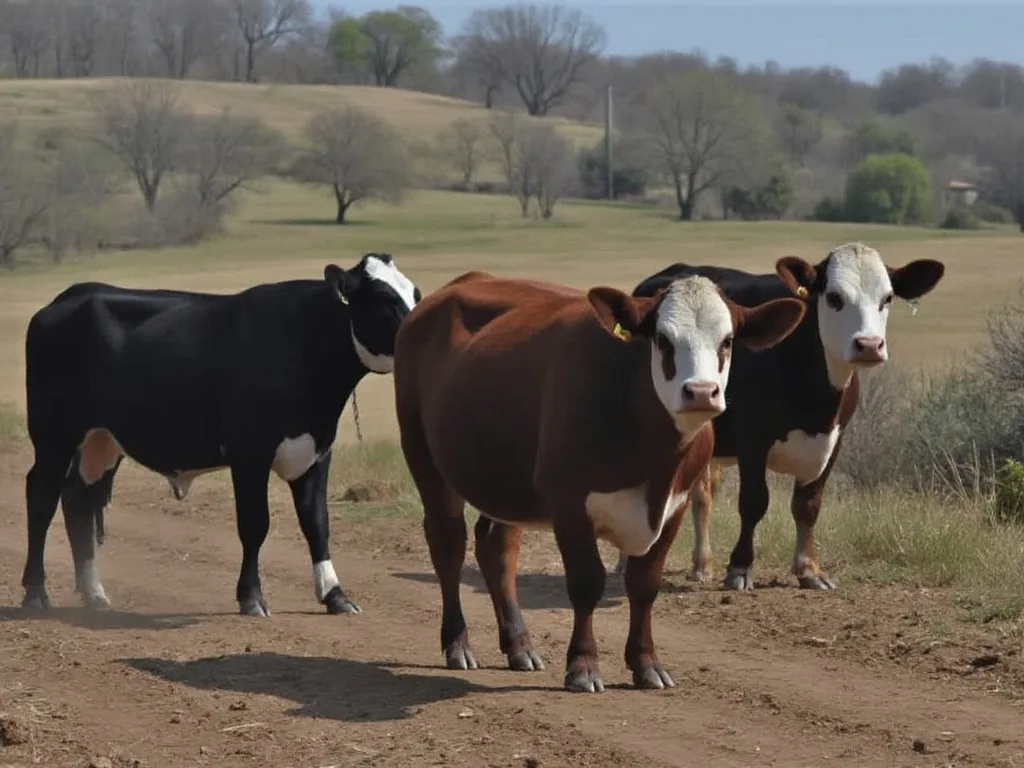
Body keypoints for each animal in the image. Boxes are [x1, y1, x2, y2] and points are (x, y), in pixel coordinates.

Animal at [19, 252, 419, 618]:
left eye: (415, 293)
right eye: (384, 302)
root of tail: (74, 294)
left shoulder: (315, 453)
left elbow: (317, 524)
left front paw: (335, 595)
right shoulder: (249, 453)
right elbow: (255, 524)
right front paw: (252, 597)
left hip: (101, 440)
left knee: (79, 500)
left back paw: (94, 593)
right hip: (53, 435)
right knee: (41, 497)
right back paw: (36, 593)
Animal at [395, 270, 802, 692]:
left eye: (727, 341)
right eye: (662, 339)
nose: (702, 392)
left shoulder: (676, 503)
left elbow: (645, 584)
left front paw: (646, 663)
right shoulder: (569, 503)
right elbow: (587, 582)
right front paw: (583, 665)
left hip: (506, 484)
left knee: (498, 551)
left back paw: (519, 646)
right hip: (424, 456)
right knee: (448, 546)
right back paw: (458, 644)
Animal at [614, 243, 942, 593]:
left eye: (887, 298)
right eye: (834, 296)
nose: (868, 345)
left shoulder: (833, 441)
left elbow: (808, 505)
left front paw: (809, 568)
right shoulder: (752, 439)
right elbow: (754, 502)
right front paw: (740, 568)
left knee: (702, 496)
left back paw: (702, 565)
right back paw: (625, 561)